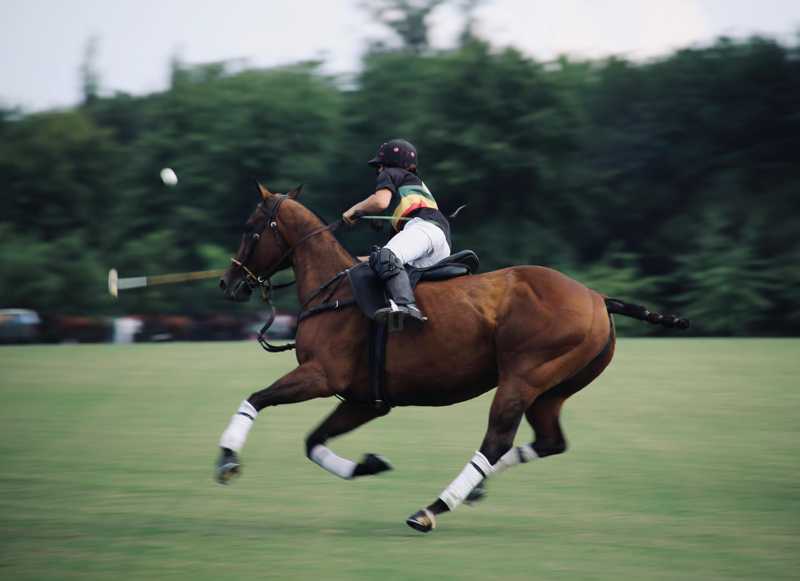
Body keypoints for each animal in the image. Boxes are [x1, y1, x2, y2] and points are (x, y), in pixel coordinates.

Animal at [216, 184, 688, 533]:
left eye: (251, 227)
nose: (228, 283)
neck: (332, 290)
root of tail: (597, 298)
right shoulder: (365, 400)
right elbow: (313, 441)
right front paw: (369, 464)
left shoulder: (321, 375)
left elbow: (256, 398)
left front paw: (226, 460)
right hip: (552, 389)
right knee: (549, 442)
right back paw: (473, 491)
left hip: (523, 377)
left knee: (496, 442)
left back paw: (432, 508)